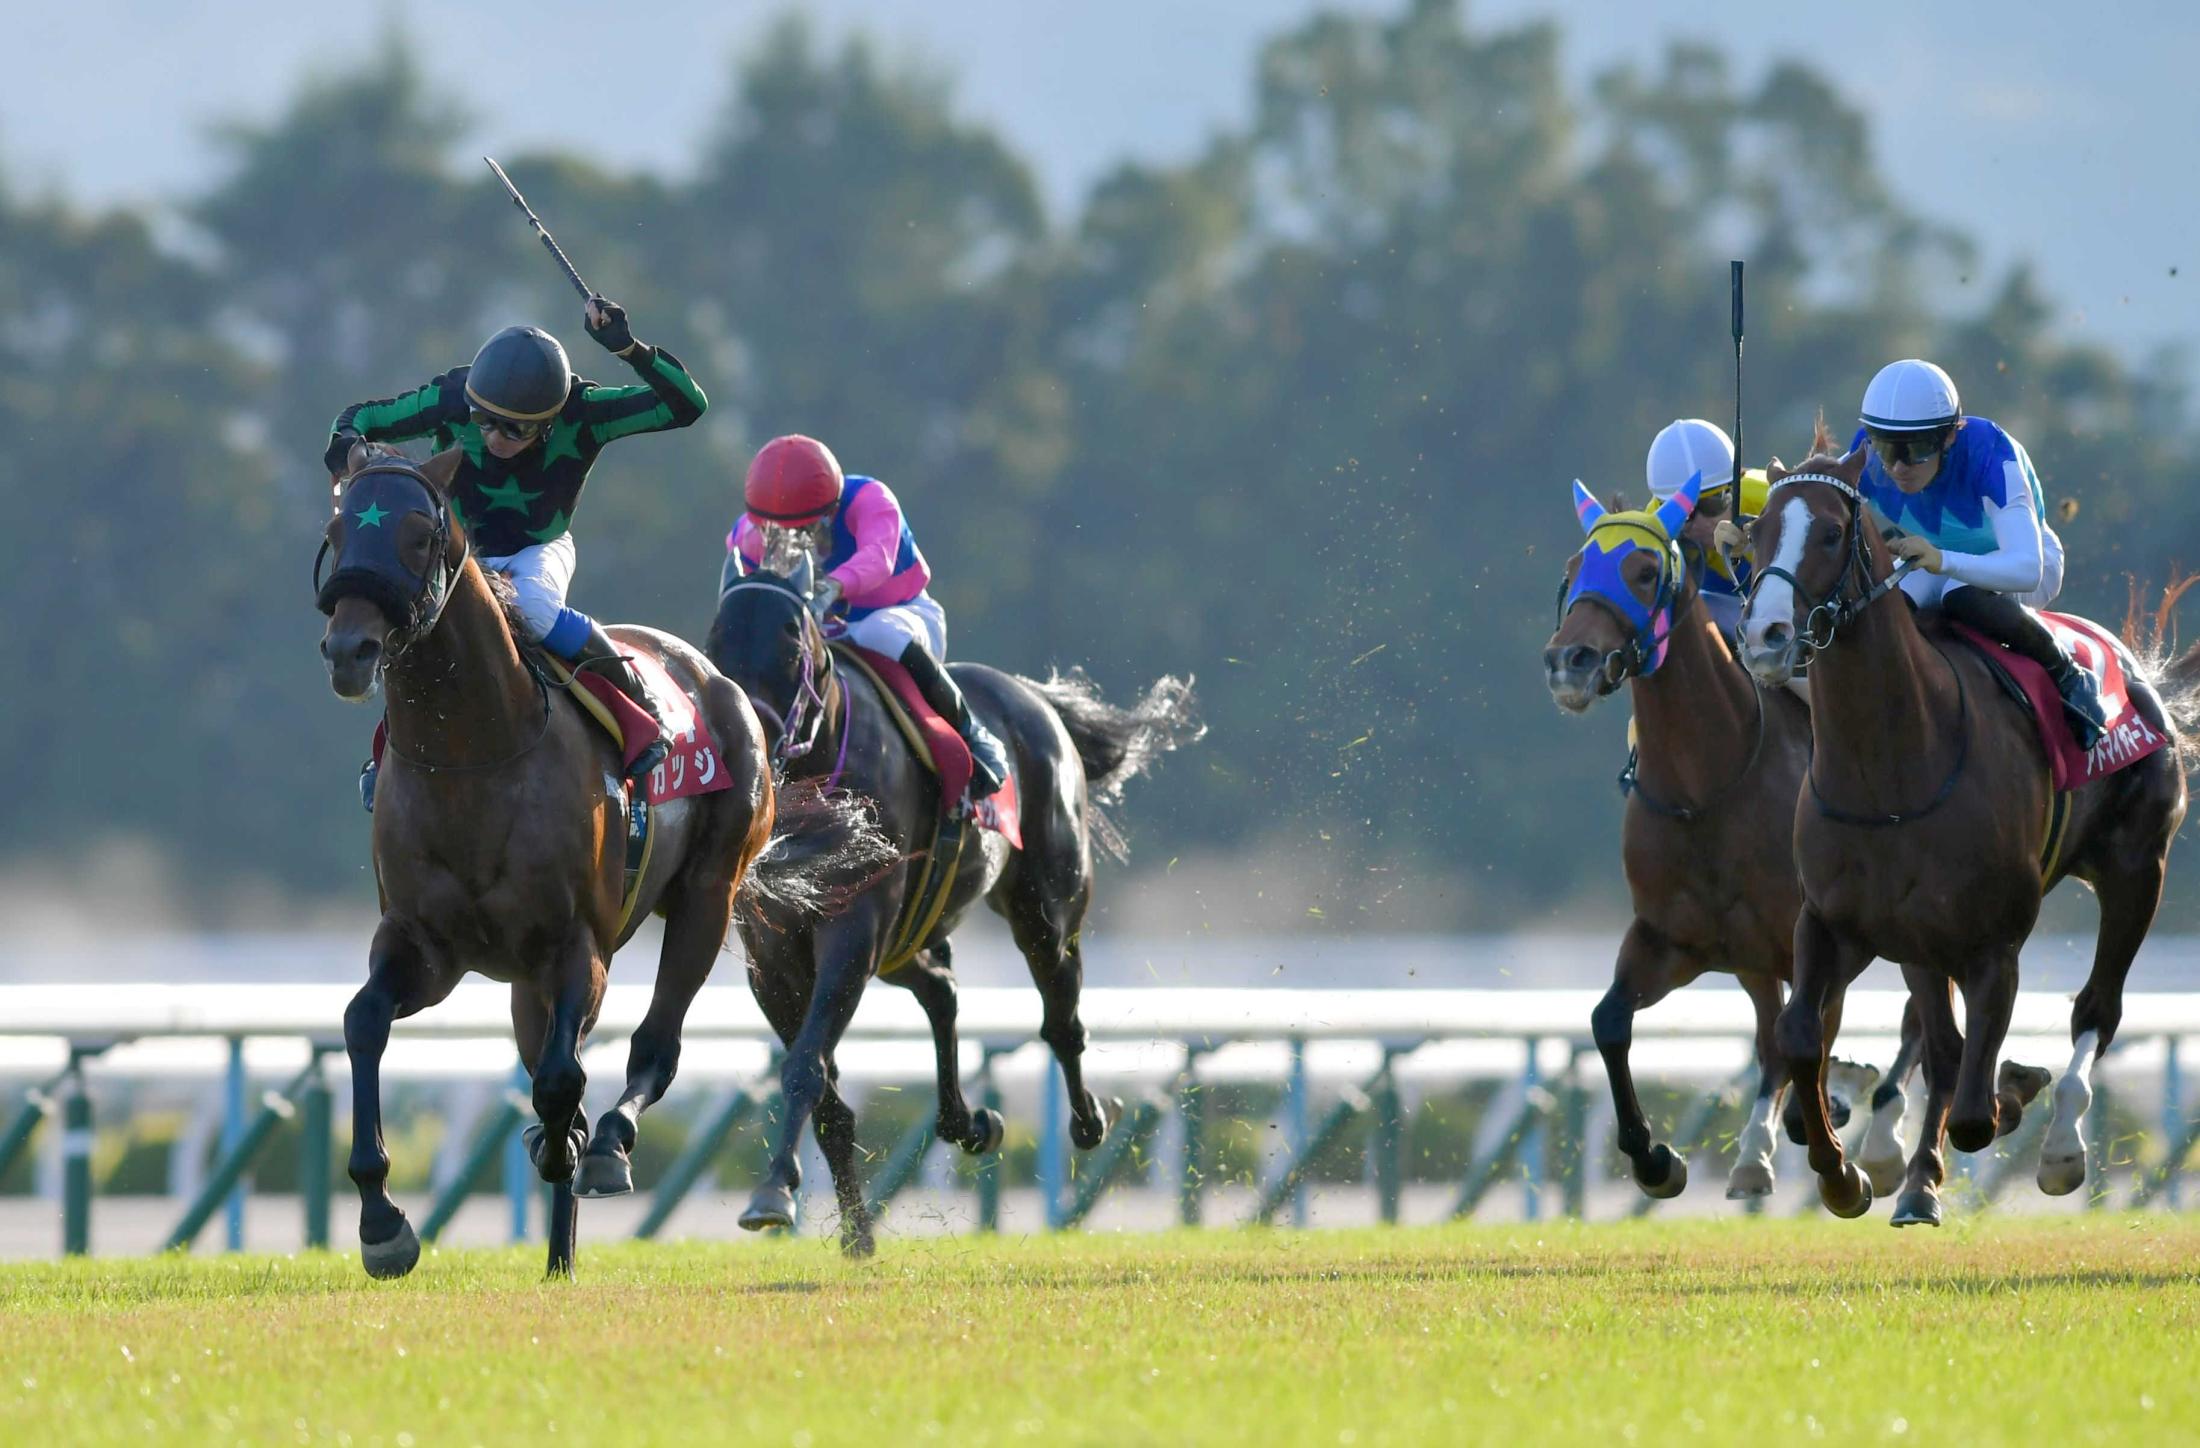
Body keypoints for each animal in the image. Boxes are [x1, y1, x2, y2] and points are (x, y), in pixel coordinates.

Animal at [316, 442, 875, 1276]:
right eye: (338, 528)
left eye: (417, 535)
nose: (349, 650)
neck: (472, 756)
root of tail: (727, 688)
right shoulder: (425, 945)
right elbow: (363, 1024)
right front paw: (382, 1220)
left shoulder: (577, 942)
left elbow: (560, 1081)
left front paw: (571, 1146)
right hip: (526, 976)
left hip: (708, 895)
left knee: (655, 1046)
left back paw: (608, 1145)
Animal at [704, 530, 1196, 1249]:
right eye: (715, 643)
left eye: (793, 642)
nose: (753, 747)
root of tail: (1036, 699)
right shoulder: (772, 958)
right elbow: (824, 1091)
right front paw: (855, 1233)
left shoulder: (853, 931)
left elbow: (805, 1067)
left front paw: (773, 1193)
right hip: (909, 937)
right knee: (943, 990)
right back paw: (969, 1122)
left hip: (1044, 907)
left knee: (1061, 1014)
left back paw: (1087, 1120)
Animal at [1548, 473, 1909, 1197]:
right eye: (1573, 571)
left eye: (1644, 569)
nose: (1569, 660)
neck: (1706, 790)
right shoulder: (1672, 939)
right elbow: (1608, 1022)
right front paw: (1653, 1158)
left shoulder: (1816, 938)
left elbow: (1814, 1034)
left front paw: (1834, 1122)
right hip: (1748, 959)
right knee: (1771, 1036)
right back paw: (1759, 1152)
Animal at [1742, 437, 2191, 1214]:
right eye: (1757, 532)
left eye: (1829, 532)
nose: (1765, 636)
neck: (1890, 768)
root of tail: (2139, 671)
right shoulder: (1833, 919)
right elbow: (1802, 1036)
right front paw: (1843, 1173)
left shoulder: (1995, 943)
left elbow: (1978, 1111)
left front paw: (2013, 1092)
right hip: (1920, 939)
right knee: (1944, 1045)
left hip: (2138, 870)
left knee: (2095, 1011)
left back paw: (2059, 1144)